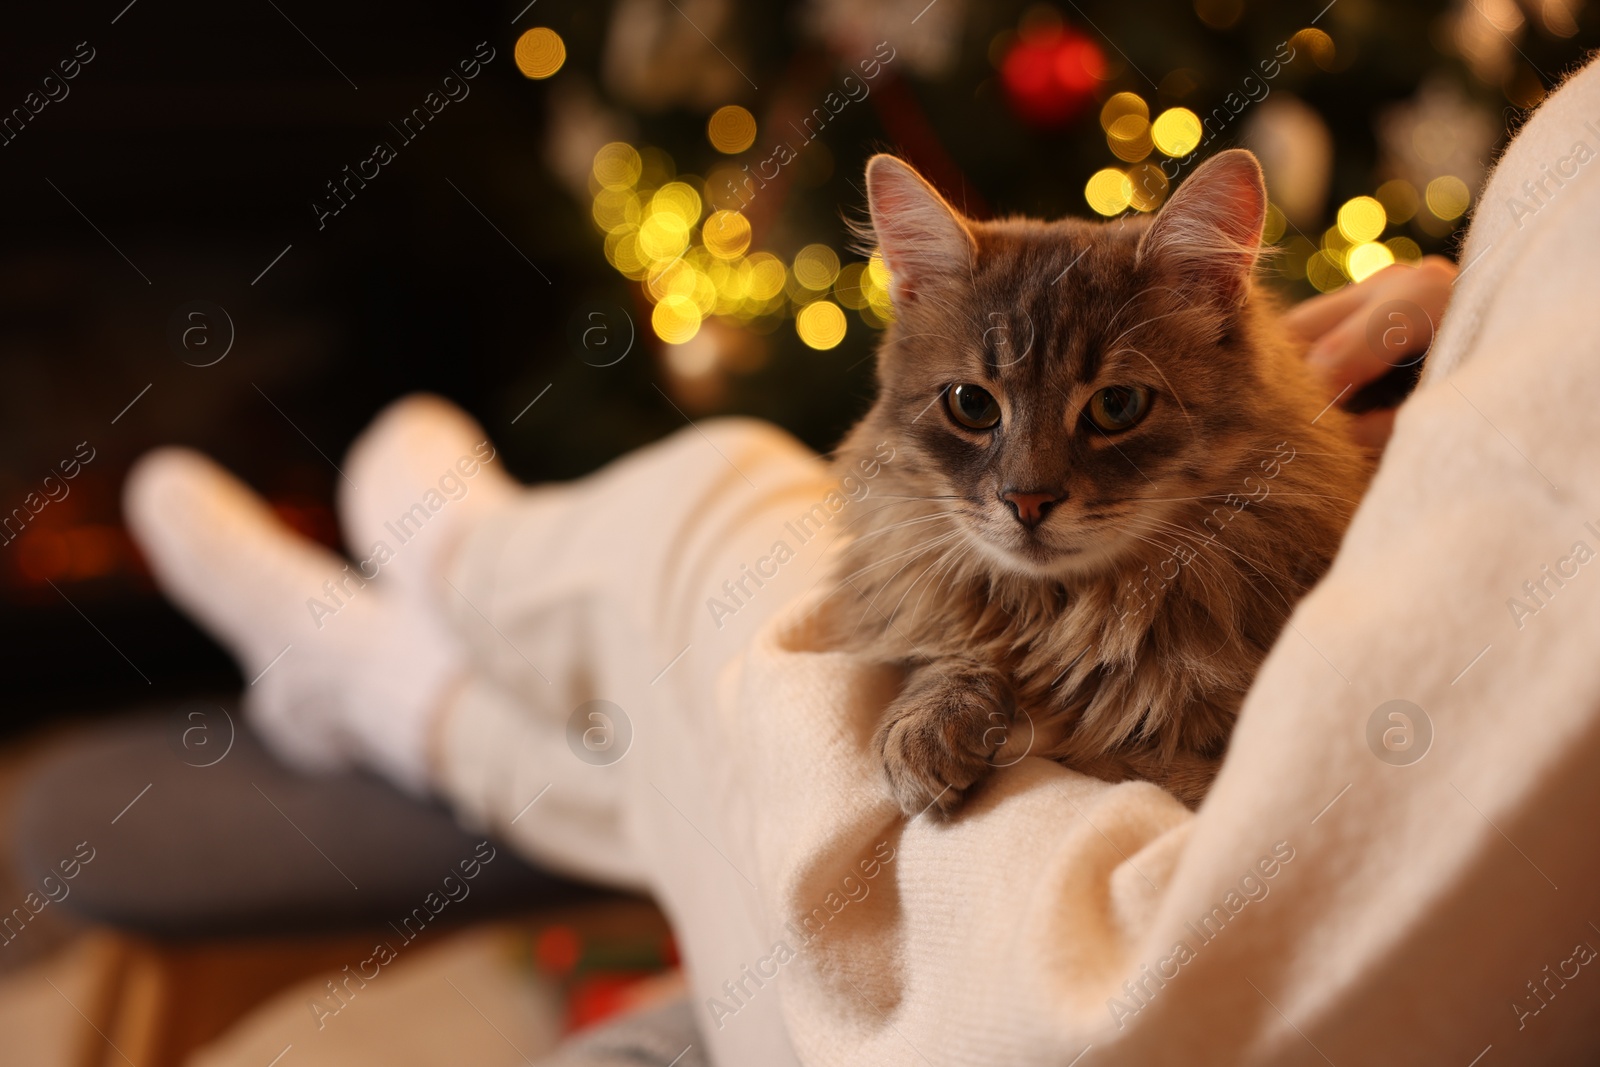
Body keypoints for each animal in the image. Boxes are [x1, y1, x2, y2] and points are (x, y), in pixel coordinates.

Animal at [825, 147, 1376, 819]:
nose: (1027, 500)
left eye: (1116, 405)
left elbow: (1127, 762)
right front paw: (931, 724)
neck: (1075, 611)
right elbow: (947, 654)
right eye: (971, 405)